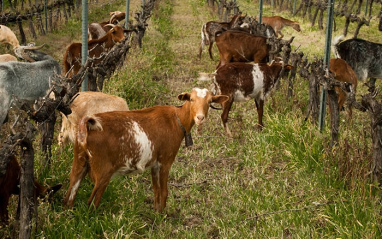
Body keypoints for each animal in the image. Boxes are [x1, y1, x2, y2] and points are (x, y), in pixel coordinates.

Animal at [63, 88, 228, 212]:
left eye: (209, 102)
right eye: (191, 99)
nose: (200, 117)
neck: (177, 119)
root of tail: (87, 124)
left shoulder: (154, 164)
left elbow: (156, 190)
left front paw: (156, 212)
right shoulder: (165, 161)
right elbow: (164, 191)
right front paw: (163, 216)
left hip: (79, 161)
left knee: (70, 194)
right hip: (103, 170)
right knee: (91, 202)